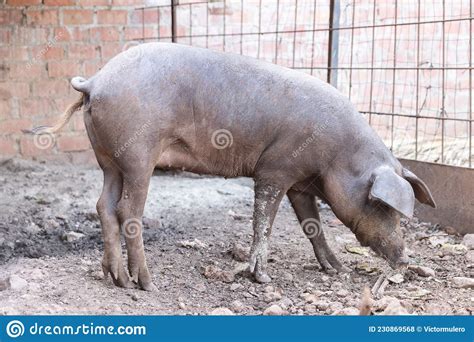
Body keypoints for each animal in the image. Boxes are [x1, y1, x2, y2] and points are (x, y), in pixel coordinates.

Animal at [25, 41, 436, 290]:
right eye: (385, 208)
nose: (405, 258)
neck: (336, 156)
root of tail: (94, 81)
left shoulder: (300, 183)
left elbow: (312, 225)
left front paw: (336, 269)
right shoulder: (275, 169)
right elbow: (263, 222)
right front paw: (263, 279)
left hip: (108, 160)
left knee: (103, 206)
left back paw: (117, 280)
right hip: (139, 152)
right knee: (128, 210)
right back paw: (147, 284)